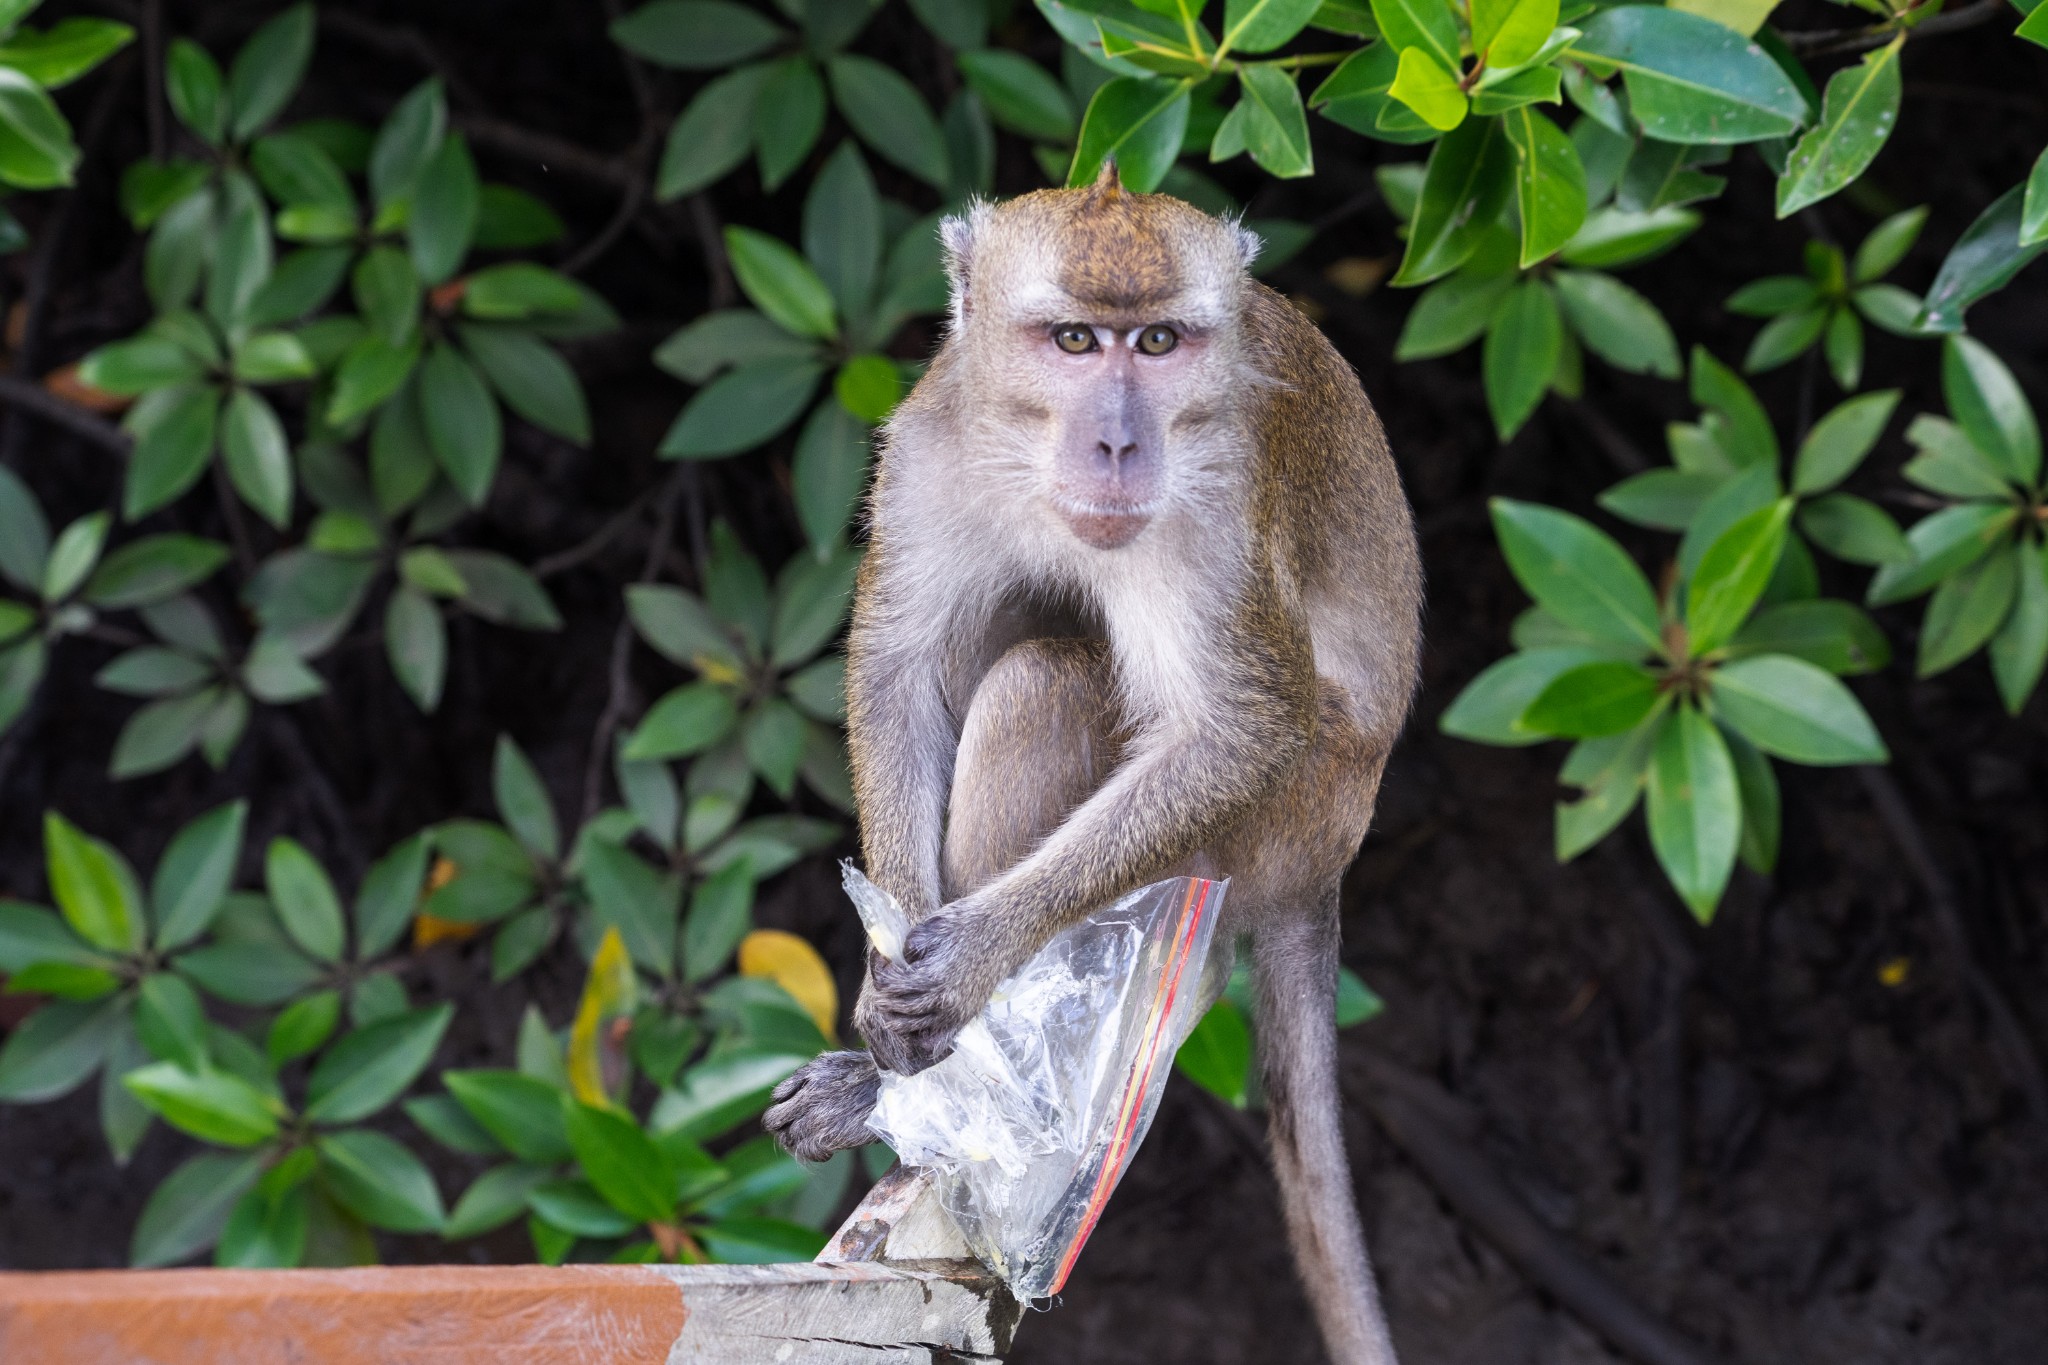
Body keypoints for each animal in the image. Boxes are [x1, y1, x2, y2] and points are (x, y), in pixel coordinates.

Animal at [770, 162, 1425, 1365]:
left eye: (1158, 342)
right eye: (1074, 340)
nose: (1118, 445)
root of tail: (1333, 855)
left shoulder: (1217, 509)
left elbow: (1237, 728)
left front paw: (971, 956)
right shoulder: (931, 443)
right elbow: (900, 666)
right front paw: (886, 967)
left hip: (1280, 818)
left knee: (1048, 678)